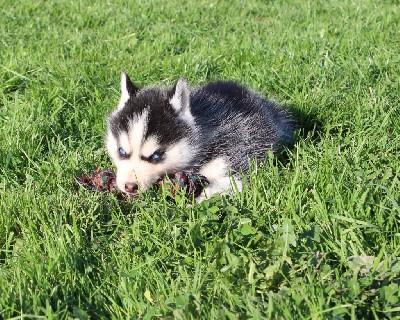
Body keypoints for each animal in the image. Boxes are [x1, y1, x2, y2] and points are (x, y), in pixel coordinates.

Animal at [106, 74, 294, 201]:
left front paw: (199, 199)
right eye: (121, 151)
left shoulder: (237, 153)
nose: (130, 186)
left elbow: (236, 182)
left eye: (156, 156)